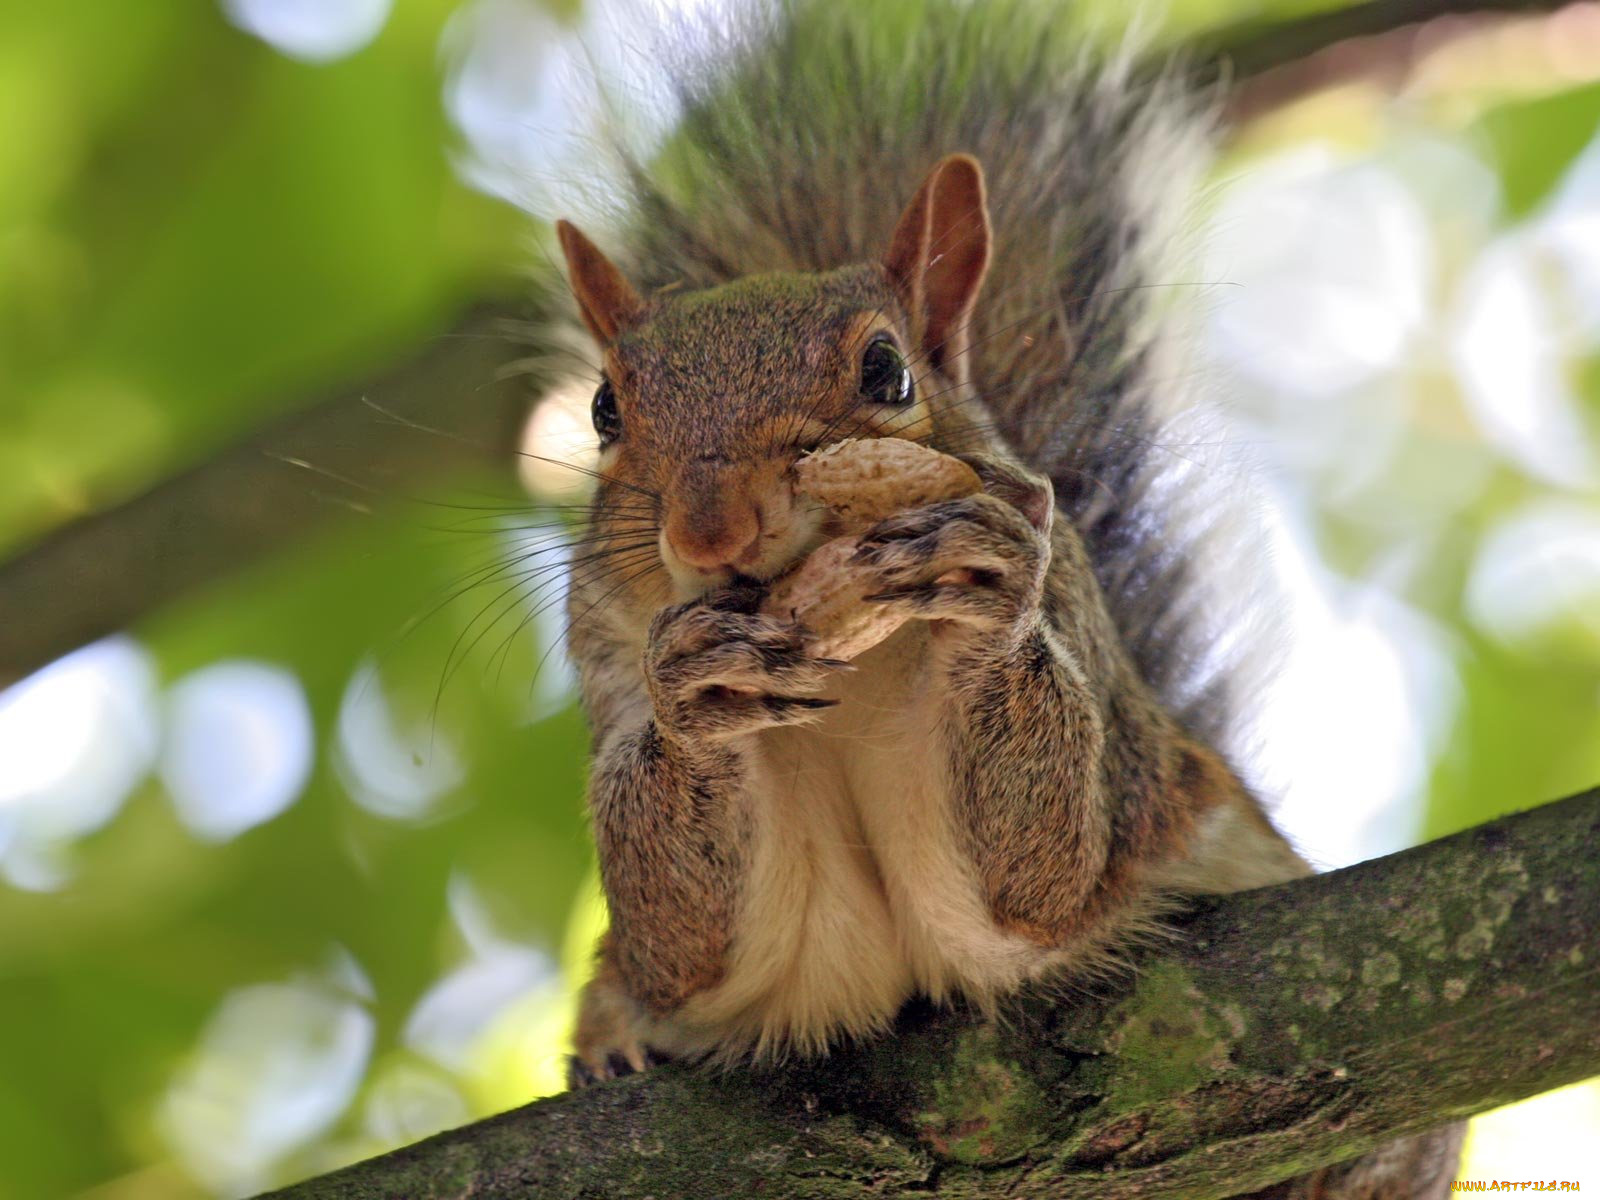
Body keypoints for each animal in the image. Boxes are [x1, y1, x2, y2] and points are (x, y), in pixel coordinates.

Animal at [547, 0, 1465, 1196]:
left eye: (887, 372)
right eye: (605, 410)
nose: (711, 531)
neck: (857, 672)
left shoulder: (1074, 639)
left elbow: (1041, 878)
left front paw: (987, 601)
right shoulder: (610, 671)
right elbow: (678, 949)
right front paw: (694, 699)